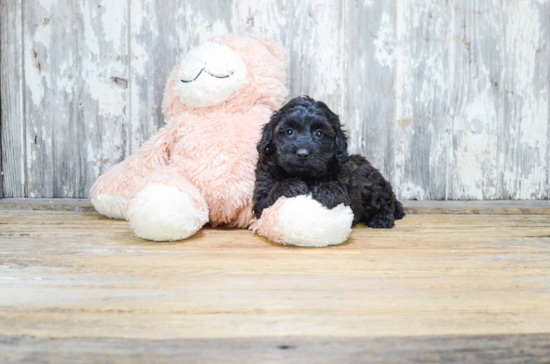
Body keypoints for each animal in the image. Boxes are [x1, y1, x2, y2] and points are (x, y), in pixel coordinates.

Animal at [254, 96, 406, 228]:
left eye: (319, 134)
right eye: (289, 132)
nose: (302, 154)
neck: (305, 175)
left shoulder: (345, 189)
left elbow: (338, 191)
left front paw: (326, 192)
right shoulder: (261, 196)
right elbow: (269, 193)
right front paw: (292, 185)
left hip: (374, 188)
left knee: (387, 203)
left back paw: (382, 219)